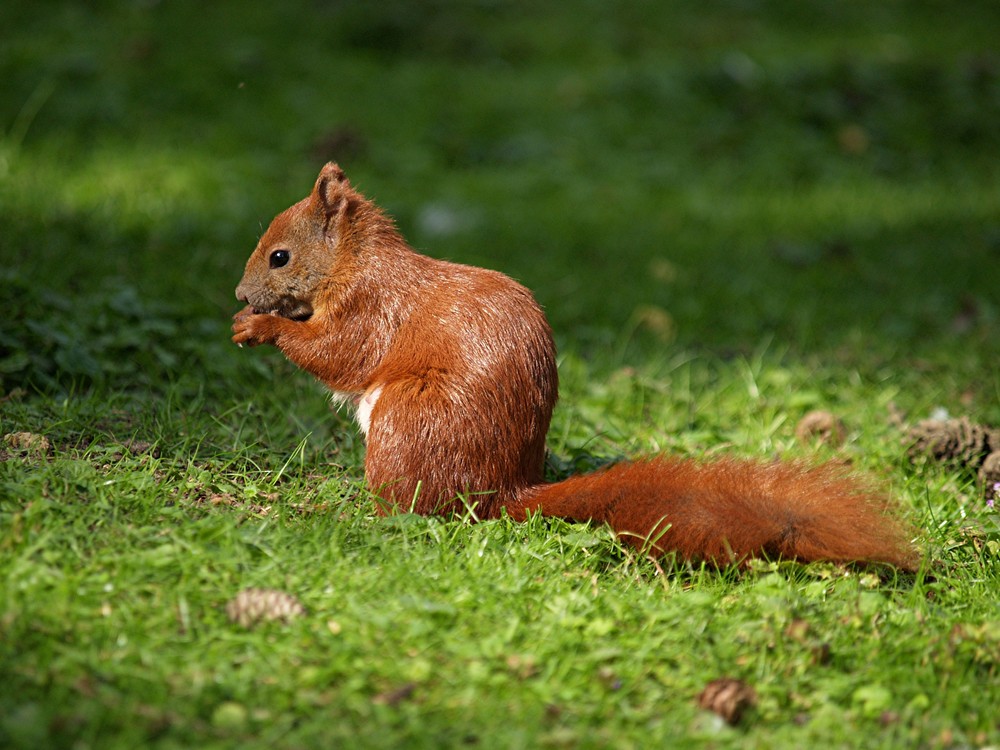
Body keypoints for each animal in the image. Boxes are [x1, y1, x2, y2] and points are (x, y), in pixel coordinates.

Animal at [232, 163, 916, 568]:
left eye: (279, 256)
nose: (239, 294)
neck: (355, 264)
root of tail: (501, 491)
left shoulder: (371, 308)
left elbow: (339, 352)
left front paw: (261, 327)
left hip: (408, 421)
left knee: (418, 509)